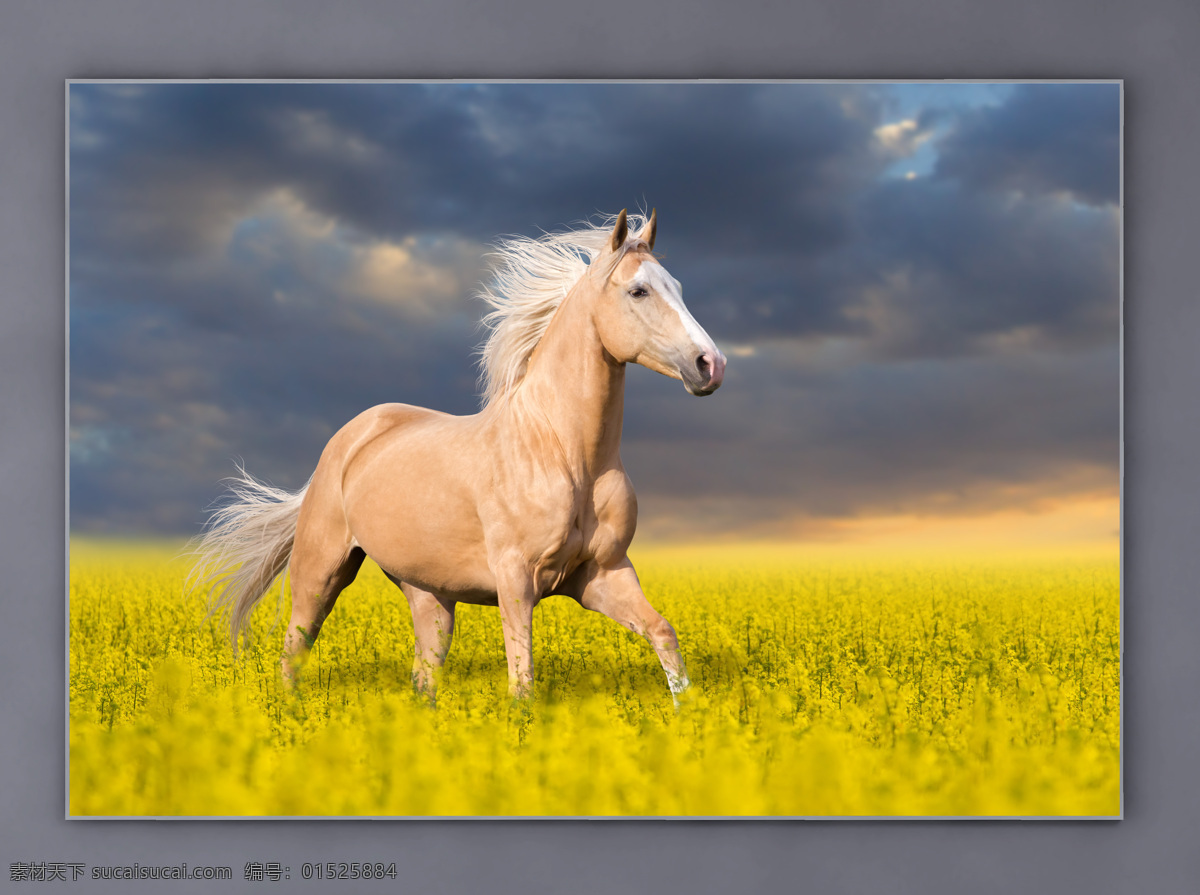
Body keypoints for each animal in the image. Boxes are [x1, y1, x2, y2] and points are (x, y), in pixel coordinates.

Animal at [192, 208, 724, 695]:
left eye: (677, 286)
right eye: (638, 291)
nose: (710, 365)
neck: (565, 454)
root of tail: (349, 439)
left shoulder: (604, 575)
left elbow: (664, 635)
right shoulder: (516, 581)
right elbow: (522, 682)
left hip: (429, 594)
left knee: (423, 677)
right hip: (320, 572)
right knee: (293, 651)